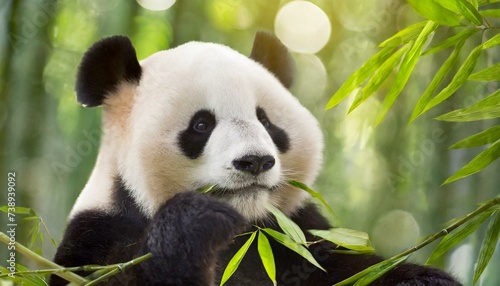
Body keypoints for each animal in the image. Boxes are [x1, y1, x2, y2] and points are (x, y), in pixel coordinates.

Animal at [50, 32, 460, 284]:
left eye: (265, 120)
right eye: (201, 124)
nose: (255, 162)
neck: (245, 232)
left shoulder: (297, 237)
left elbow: (353, 269)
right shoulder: (100, 234)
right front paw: (194, 223)